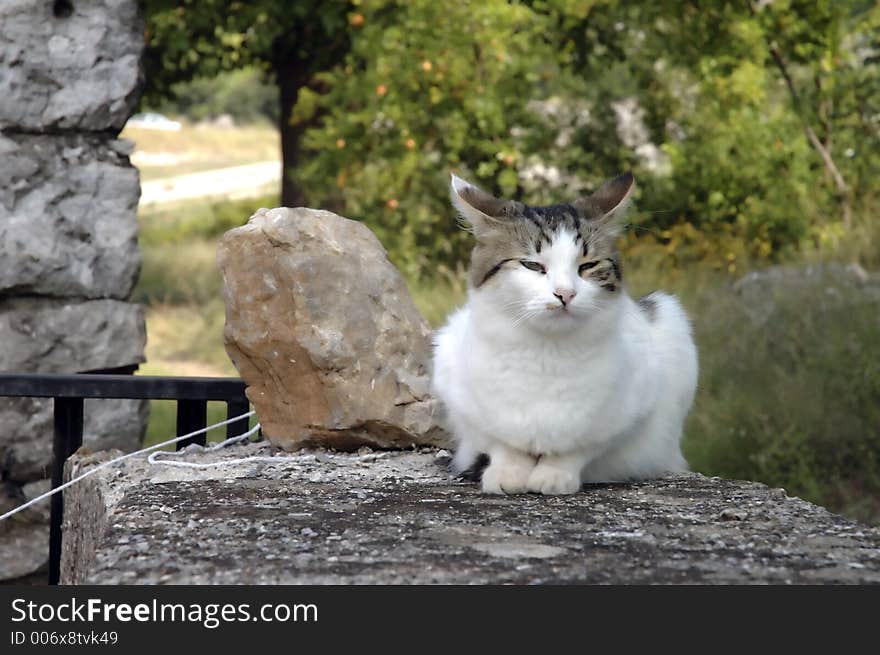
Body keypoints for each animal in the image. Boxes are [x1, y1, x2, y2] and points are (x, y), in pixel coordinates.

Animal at [430, 172, 696, 494]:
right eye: (532, 265)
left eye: (588, 265)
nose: (565, 293)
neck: (547, 352)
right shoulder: (460, 393)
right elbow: (502, 443)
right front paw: (507, 473)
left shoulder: (629, 410)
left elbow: (578, 448)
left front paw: (554, 475)